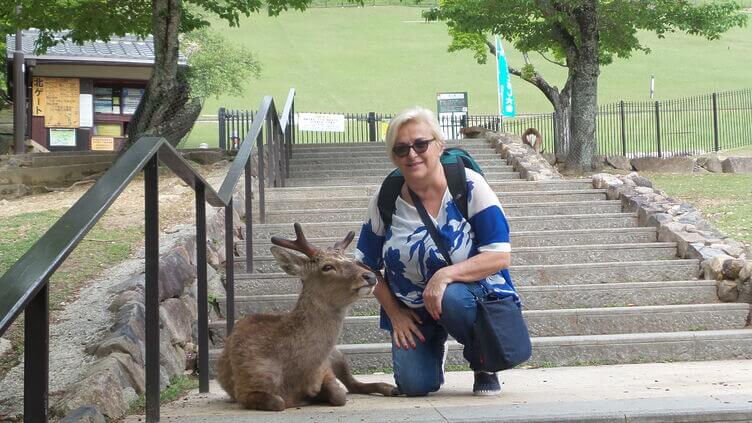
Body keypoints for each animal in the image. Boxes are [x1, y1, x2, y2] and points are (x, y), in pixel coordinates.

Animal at [216, 223, 399, 411]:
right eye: (327, 266)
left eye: (353, 261)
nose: (370, 276)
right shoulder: (244, 386)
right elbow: (278, 402)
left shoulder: (324, 370)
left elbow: (339, 395)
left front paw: (318, 395)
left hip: (337, 354)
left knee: (352, 383)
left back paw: (390, 388)